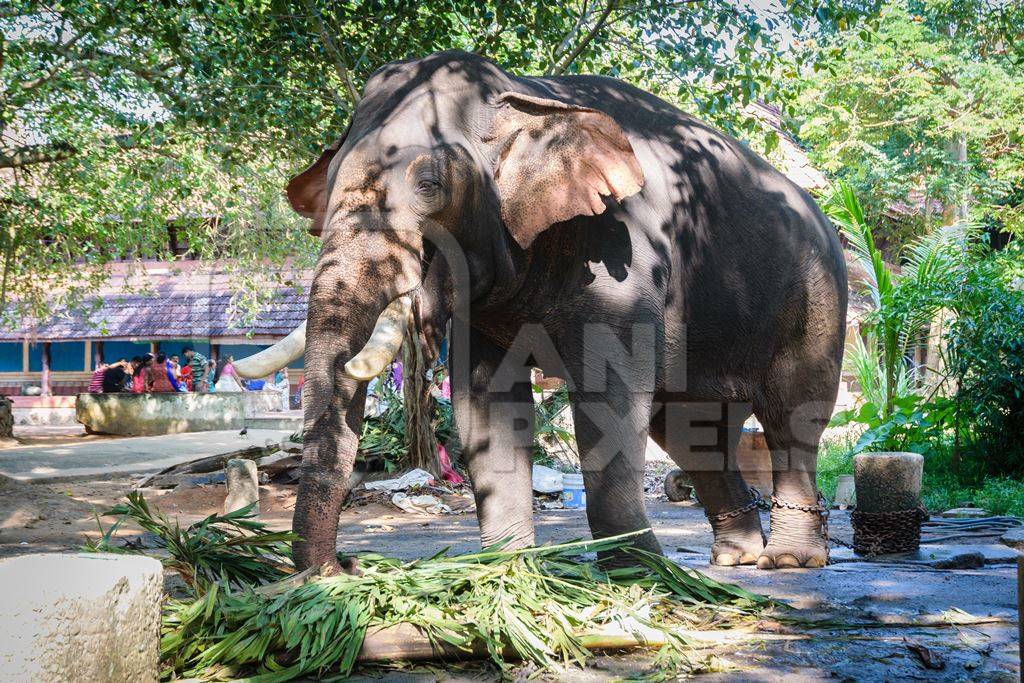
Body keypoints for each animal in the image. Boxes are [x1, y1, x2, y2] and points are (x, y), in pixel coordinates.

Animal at [239, 50, 847, 577]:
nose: (344, 566)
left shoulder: (625, 252)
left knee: (793, 413)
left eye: (429, 185)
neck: (527, 94)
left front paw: (641, 572)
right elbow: (485, 402)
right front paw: (507, 568)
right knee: (687, 429)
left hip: (818, 293)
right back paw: (736, 558)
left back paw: (788, 560)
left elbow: (609, 397)